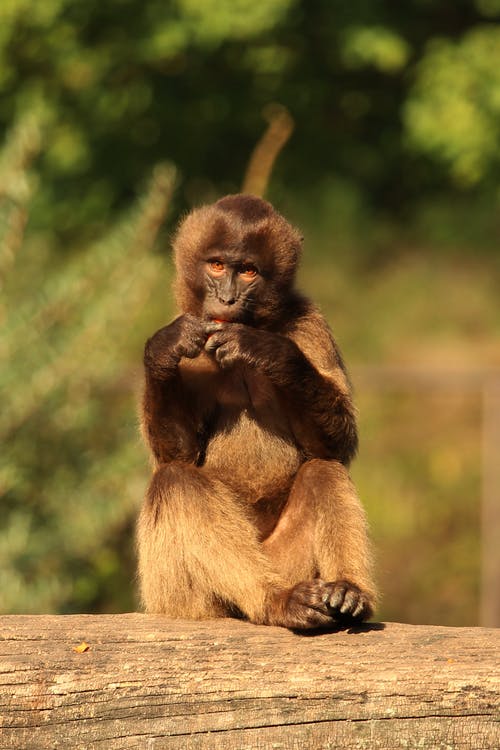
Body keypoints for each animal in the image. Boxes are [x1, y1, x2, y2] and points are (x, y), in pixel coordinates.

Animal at [137, 192, 376, 628]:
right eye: (216, 265)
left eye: (248, 271)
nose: (227, 299)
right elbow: (177, 455)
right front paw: (162, 351)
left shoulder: (309, 324)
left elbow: (333, 448)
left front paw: (271, 354)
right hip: (184, 602)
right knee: (174, 481)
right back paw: (276, 600)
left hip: (286, 561)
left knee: (322, 470)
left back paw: (347, 593)